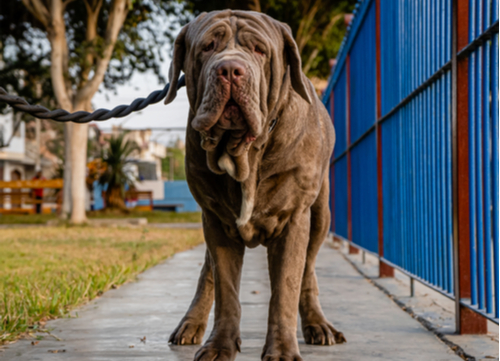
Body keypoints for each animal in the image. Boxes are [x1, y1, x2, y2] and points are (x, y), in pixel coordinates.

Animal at [164, 9, 344, 360]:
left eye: (259, 50)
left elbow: (286, 289)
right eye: (207, 47)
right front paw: (219, 346)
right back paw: (191, 323)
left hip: (320, 215)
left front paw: (283, 350)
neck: (242, 153)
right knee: (208, 271)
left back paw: (319, 325)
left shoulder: (294, 219)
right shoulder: (216, 222)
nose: (230, 70)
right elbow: (226, 289)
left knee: (308, 272)